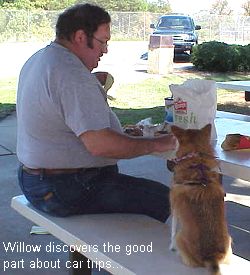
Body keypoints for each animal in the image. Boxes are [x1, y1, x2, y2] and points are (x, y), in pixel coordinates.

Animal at [169, 124, 231, 275]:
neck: (197, 164)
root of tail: (212, 257)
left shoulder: (174, 207)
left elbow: (172, 231)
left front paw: (171, 247)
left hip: (180, 237)